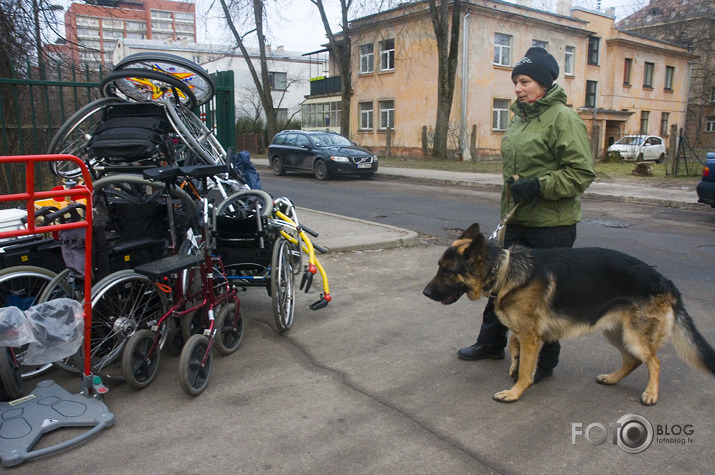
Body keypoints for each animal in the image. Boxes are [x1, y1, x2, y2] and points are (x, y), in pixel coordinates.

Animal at [426, 223, 715, 406]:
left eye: (448, 272)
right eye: (439, 267)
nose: (425, 292)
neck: (506, 271)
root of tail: (664, 280)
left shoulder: (531, 337)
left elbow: (526, 370)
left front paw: (515, 392)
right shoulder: (524, 333)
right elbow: (513, 345)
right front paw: (514, 366)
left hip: (635, 336)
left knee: (654, 362)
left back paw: (651, 394)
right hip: (615, 333)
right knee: (633, 360)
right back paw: (611, 378)